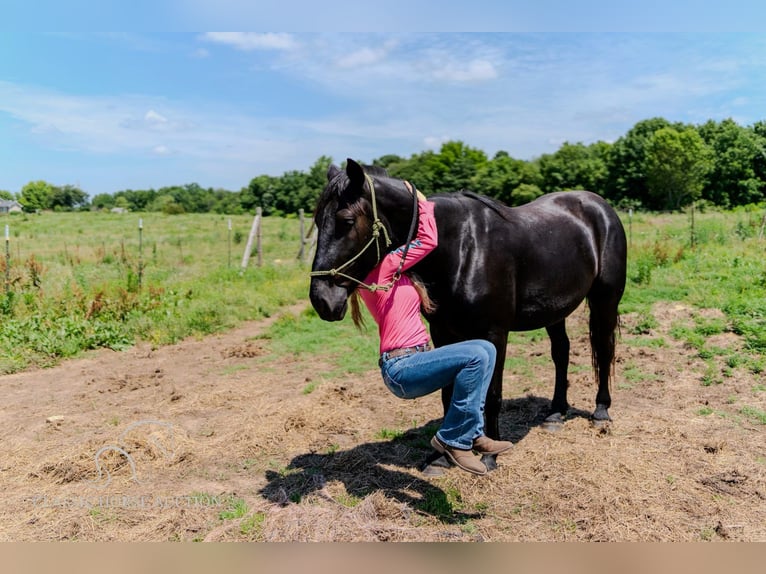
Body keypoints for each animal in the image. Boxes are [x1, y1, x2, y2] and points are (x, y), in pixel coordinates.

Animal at [308, 159, 628, 472]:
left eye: (347, 221)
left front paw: (490, 456)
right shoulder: (442, 332)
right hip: (554, 311)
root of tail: (600, 206)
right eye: (317, 221)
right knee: (562, 352)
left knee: (603, 348)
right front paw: (441, 458)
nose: (322, 300)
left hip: (605, 300)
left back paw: (601, 412)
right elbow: (448, 394)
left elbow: (492, 395)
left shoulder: (494, 334)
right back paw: (555, 413)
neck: (461, 249)